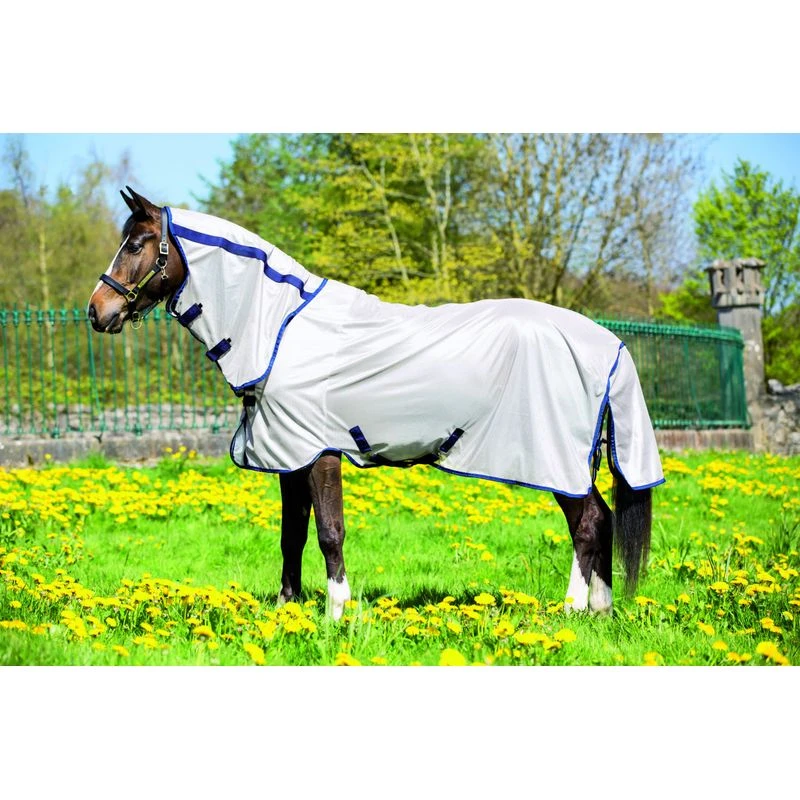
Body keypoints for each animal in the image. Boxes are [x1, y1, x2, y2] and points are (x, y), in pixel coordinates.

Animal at [88, 187, 664, 620]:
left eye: (138, 243)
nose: (97, 311)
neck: (280, 330)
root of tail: (606, 342)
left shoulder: (318, 452)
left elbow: (329, 533)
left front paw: (338, 613)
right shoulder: (290, 455)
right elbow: (292, 535)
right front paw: (289, 609)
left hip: (557, 460)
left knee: (587, 524)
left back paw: (572, 609)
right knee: (602, 520)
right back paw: (600, 611)